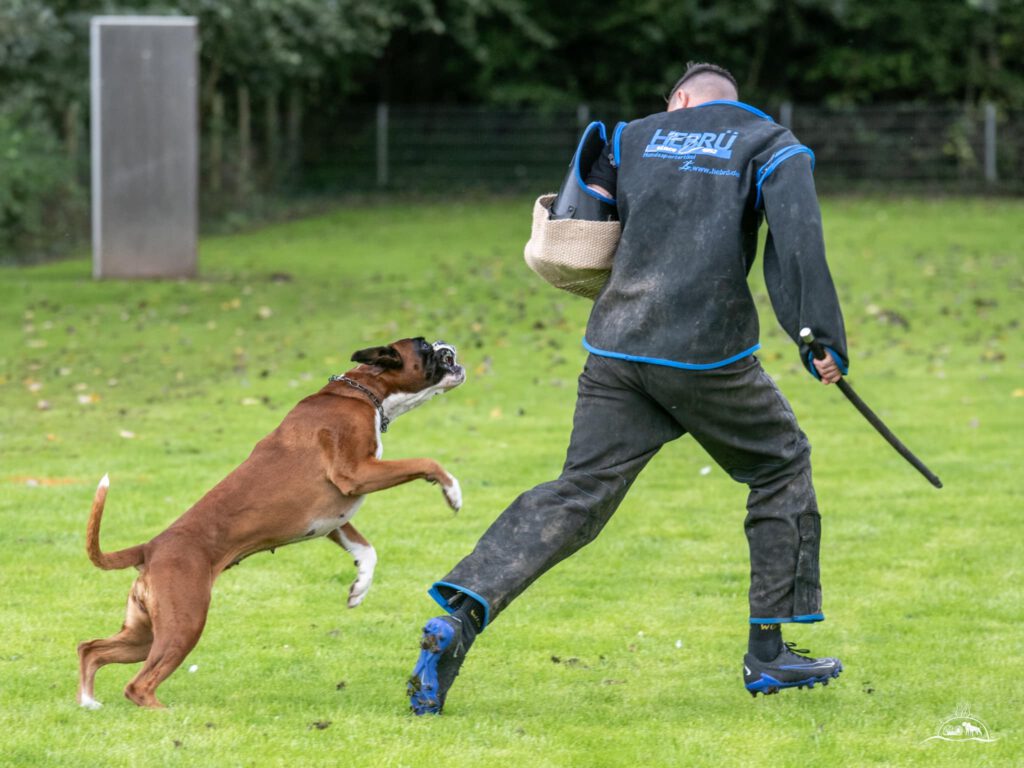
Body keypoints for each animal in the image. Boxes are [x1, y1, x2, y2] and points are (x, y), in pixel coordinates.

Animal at [74, 335, 464, 708]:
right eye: (424, 346)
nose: (447, 346)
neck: (361, 391)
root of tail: (151, 547)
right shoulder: (356, 473)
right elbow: (425, 462)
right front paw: (452, 490)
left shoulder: (334, 519)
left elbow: (367, 551)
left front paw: (360, 588)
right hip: (183, 624)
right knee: (138, 685)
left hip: (144, 634)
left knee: (91, 649)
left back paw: (89, 703)